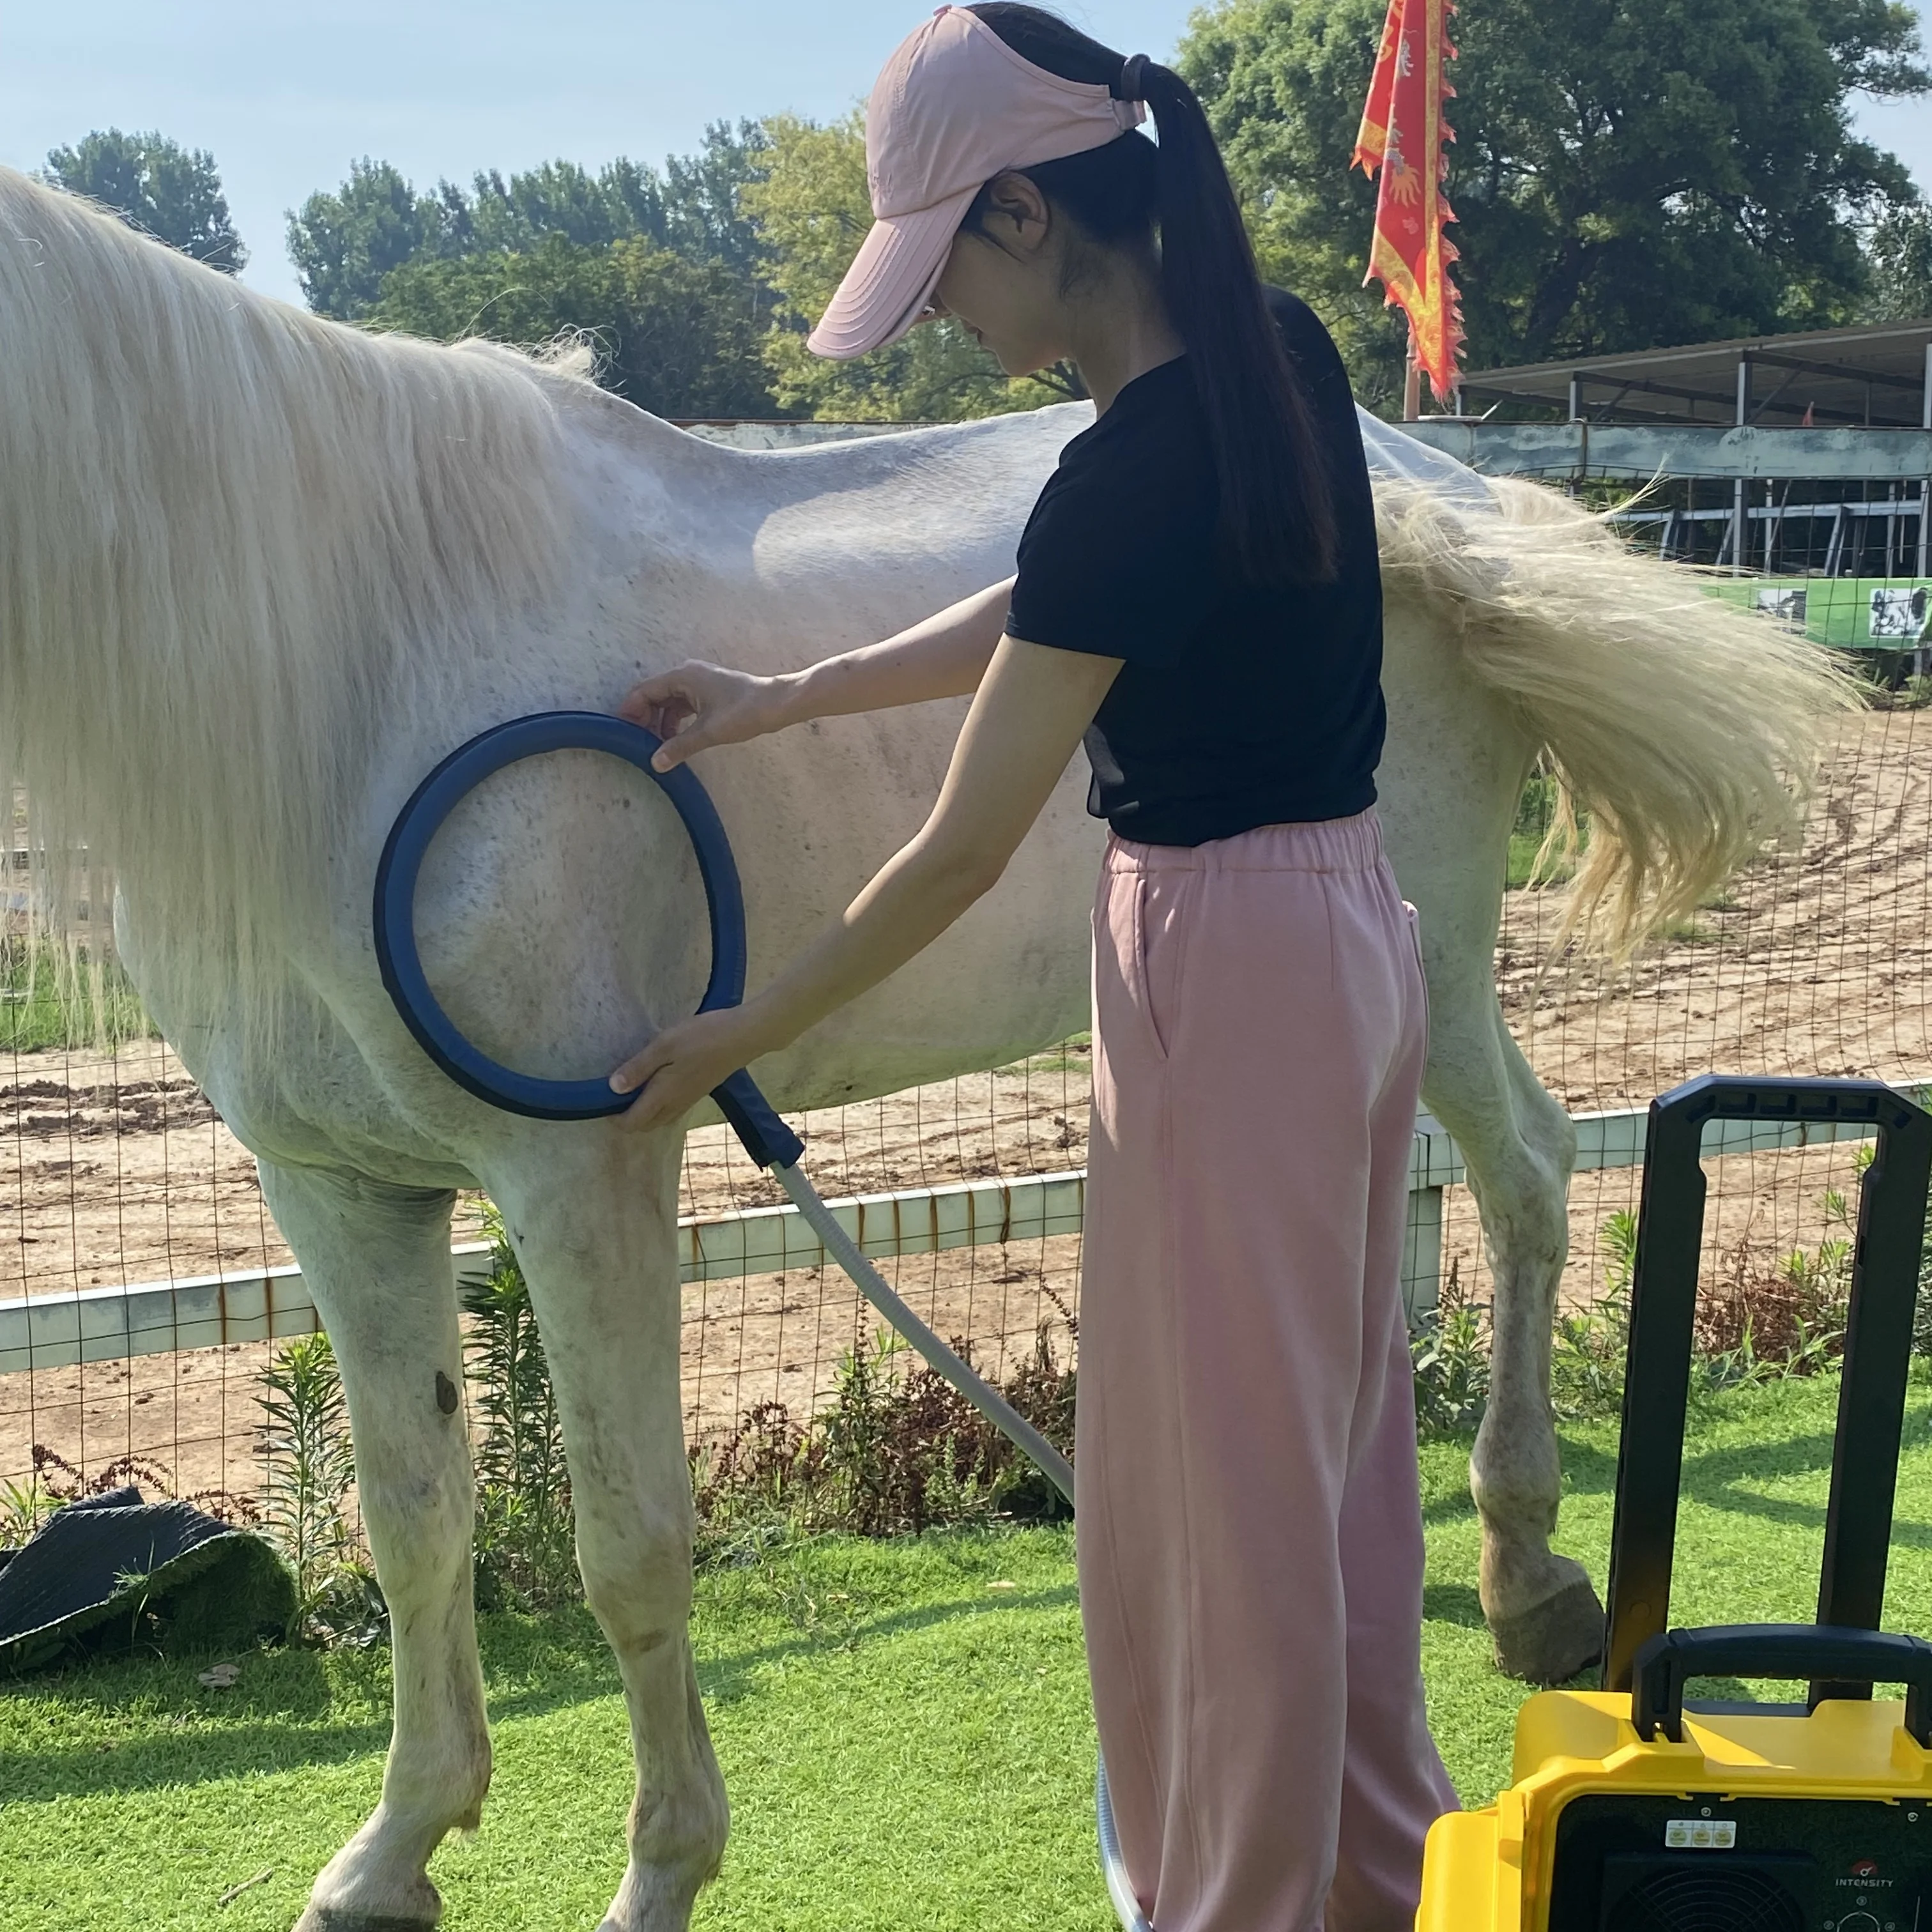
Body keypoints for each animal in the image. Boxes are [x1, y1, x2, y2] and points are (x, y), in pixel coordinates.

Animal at [0, 167, 1842, 1932]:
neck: (360, 668)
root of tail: (1441, 496)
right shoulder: (339, 1193)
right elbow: (412, 1525)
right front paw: (393, 1853)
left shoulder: (583, 1176)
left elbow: (631, 1548)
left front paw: (661, 1874)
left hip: (1436, 965)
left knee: (1528, 1176)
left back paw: (1527, 1576)